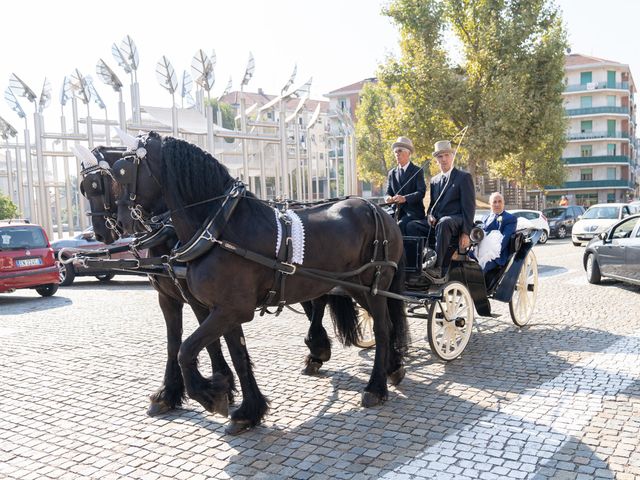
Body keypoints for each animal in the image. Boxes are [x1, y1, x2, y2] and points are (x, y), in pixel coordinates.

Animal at [110, 132, 408, 436]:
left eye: (121, 171)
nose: (119, 224)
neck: (218, 229)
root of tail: (379, 210)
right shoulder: (223, 310)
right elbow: (235, 355)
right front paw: (246, 410)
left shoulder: (230, 309)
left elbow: (185, 349)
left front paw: (211, 394)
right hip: (356, 288)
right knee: (387, 324)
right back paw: (391, 368)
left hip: (374, 286)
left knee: (382, 328)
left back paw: (375, 387)